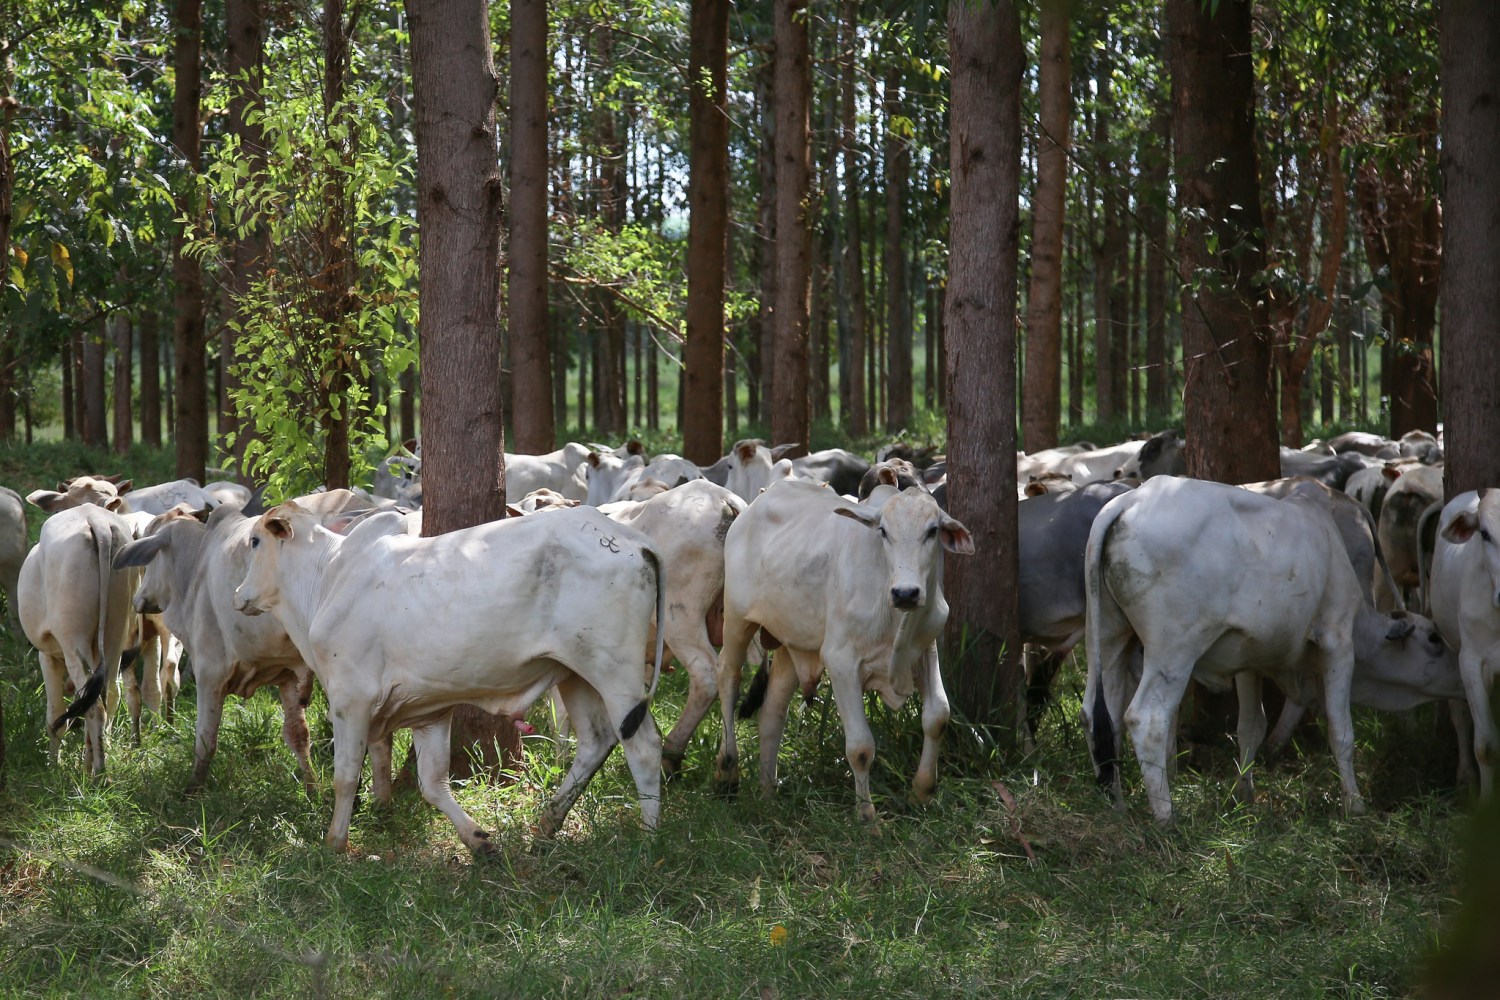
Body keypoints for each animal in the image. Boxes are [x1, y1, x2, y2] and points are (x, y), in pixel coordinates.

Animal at [17, 500, 136, 773]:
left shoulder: (48, 656)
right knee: (109, 695)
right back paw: (94, 766)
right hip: (115, 636)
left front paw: (53, 767)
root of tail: (97, 521)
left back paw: (99, 773)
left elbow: (55, 715)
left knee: (94, 707)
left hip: (74, 643)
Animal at [231, 500, 666, 851]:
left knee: (643, 745)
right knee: (596, 740)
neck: (326, 579)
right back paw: (546, 826)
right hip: (575, 673)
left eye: (255, 541)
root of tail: (633, 540)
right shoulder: (429, 710)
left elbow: (346, 776)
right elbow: (433, 784)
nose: (238, 595)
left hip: (613, 670)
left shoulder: (350, 700)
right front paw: (478, 840)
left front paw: (335, 843)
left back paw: (649, 839)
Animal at [714, 482, 972, 821]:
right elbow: (860, 747)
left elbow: (938, 716)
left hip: (791, 645)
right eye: (883, 531)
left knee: (772, 713)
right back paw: (727, 771)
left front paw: (922, 791)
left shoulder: (925, 650)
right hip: (736, 620)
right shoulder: (842, 662)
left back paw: (768, 792)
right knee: (728, 678)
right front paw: (867, 817)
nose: (905, 593)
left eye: (933, 530)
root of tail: (752, 505)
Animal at [1092, 479, 1452, 827]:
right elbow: (1342, 732)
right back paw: (1166, 817)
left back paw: (1117, 806)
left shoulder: (1249, 661)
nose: (1458, 679)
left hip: (1112, 639)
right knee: (1145, 718)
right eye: (1434, 638)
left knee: (1105, 716)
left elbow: (1250, 728)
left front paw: (1244, 796)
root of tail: (1130, 501)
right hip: (1173, 652)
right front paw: (1355, 805)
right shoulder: (1338, 643)